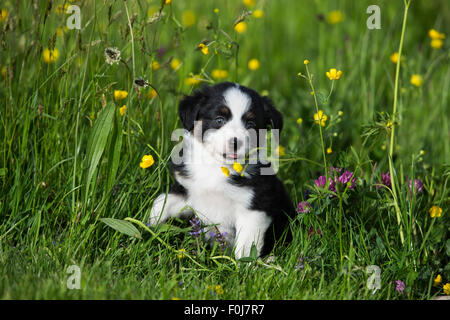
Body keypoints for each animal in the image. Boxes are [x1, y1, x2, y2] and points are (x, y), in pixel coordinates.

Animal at [149, 81, 296, 258]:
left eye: (251, 124)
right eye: (219, 120)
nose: (235, 142)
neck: (216, 167)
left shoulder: (254, 207)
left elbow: (246, 246)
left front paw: (244, 265)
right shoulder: (187, 189)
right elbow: (161, 202)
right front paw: (150, 227)